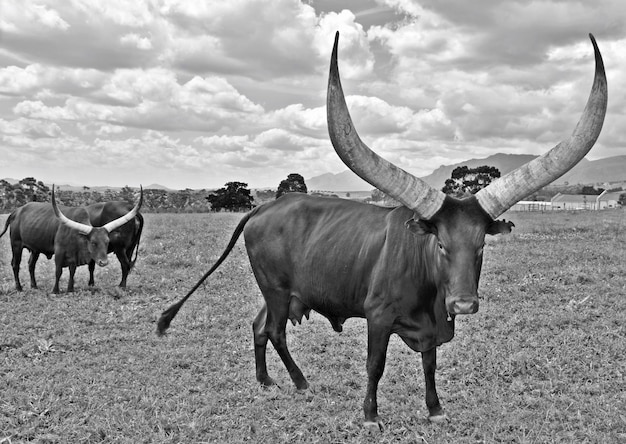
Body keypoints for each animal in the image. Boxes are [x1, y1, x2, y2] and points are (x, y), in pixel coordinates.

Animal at [0, 186, 142, 294]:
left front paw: (71, 289)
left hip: (35, 248)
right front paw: (55, 291)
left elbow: (73, 270)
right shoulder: (59, 252)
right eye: (93, 243)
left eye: (107, 242)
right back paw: (19, 288)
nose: (104, 262)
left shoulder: (74, 255)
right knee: (15, 264)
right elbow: (58, 271)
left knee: (31, 264)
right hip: (16, 244)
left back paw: (34, 286)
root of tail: (17, 211)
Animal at [156, 32, 604, 430]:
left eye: (480, 245)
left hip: (280, 292)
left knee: (258, 325)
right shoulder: (378, 316)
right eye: (441, 244)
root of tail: (264, 207)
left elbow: (430, 365)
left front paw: (435, 410)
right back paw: (301, 383)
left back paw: (266, 381)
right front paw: (370, 416)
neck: (429, 290)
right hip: (277, 290)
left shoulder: (431, 328)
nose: (462, 304)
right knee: (276, 331)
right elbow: (375, 364)